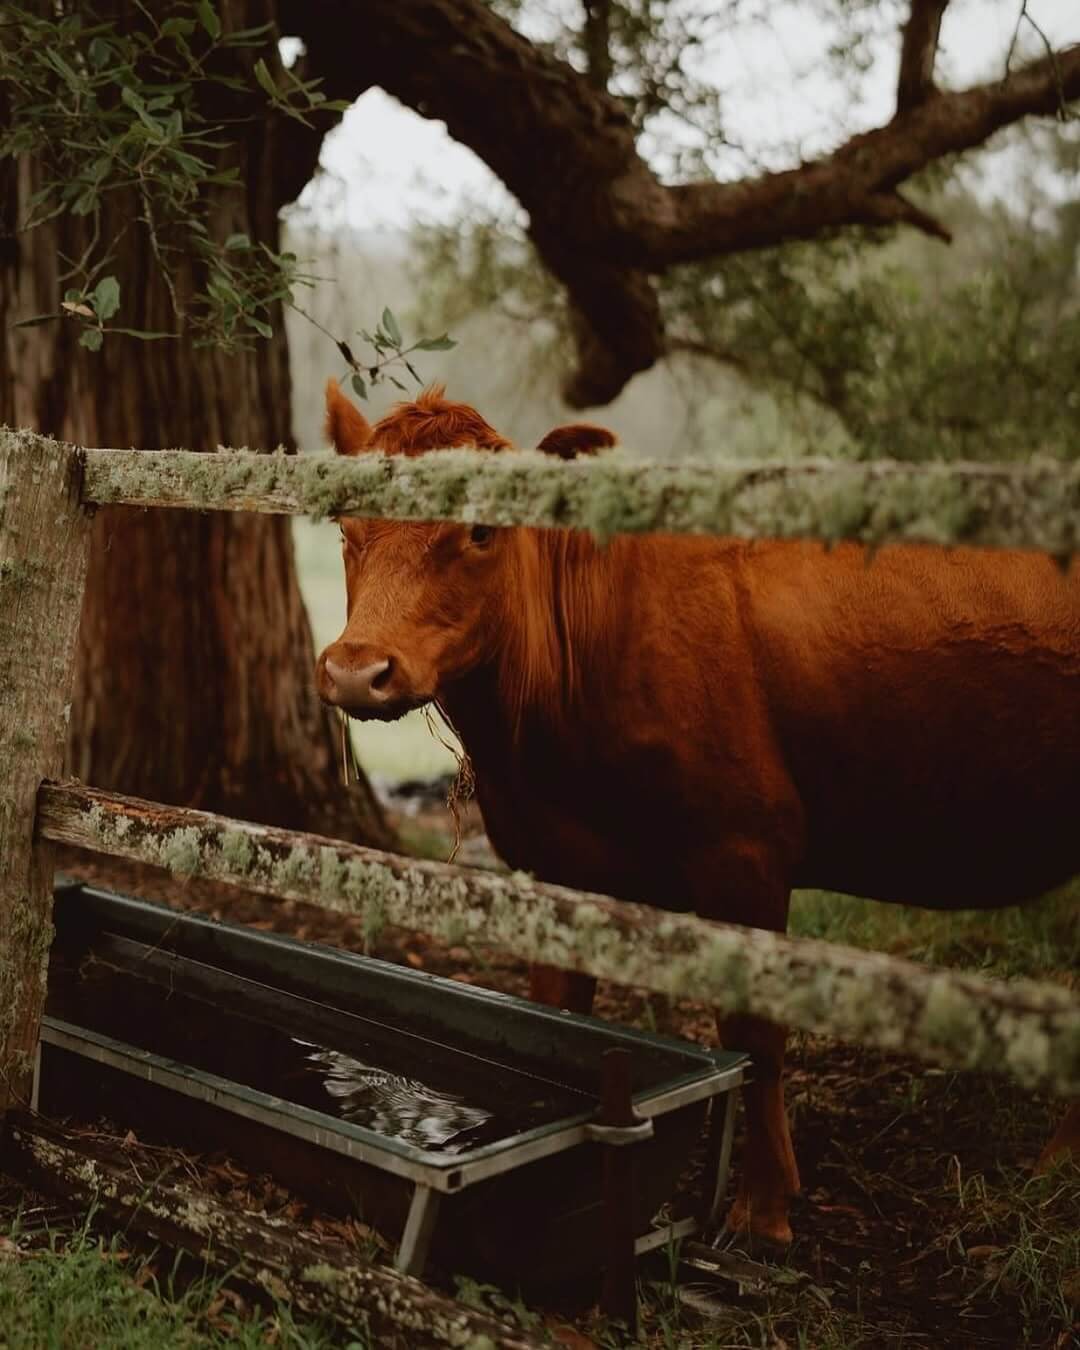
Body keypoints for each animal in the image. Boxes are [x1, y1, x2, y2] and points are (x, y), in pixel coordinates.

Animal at [315, 380, 1080, 1246]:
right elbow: (559, 1009)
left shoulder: (744, 853)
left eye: (482, 529)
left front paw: (762, 1205)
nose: (357, 669)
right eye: (346, 527)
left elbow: (753, 1034)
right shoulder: (558, 863)